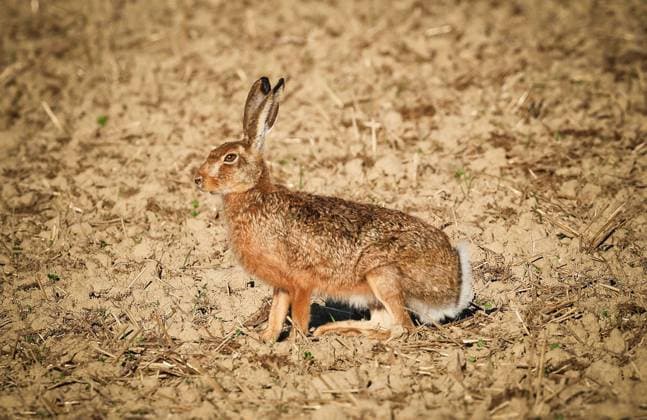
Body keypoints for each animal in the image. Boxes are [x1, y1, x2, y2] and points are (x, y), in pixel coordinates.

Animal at [194, 76, 473, 341]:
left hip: (382, 274)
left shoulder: (300, 281)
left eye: (230, 158)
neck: (253, 195)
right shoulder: (281, 285)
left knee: (403, 328)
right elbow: (276, 313)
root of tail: (452, 287)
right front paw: (265, 340)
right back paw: (330, 330)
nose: (198, 180)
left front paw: (294, 343)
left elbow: (298, 315)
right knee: (383, 323)